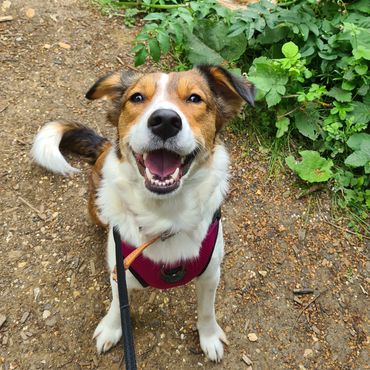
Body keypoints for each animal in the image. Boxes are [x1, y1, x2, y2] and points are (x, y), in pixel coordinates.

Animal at [31, 66, 254, 362]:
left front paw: (208, 336)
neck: (165, 215)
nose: (165, 121)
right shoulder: (120, 272)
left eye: (195, 99)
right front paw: (112, 328)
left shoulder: (210, 273)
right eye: (137, 97)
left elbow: (207, 310)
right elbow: (118, 305)